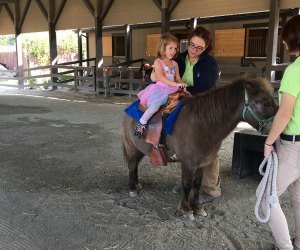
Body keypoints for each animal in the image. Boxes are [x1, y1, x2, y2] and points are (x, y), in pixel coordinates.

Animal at [120, 74, 278, 221]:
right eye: (265, 103)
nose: (278, 131)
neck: (202, 123)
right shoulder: (188, 164)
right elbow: (187, 185)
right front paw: (186, 210)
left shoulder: (203, 163)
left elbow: (196, 185)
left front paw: (197, 207)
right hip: (132, 149)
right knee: (132, 166)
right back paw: (132, 188)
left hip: (140, 150)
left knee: (135, 166)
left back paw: (137, 184)